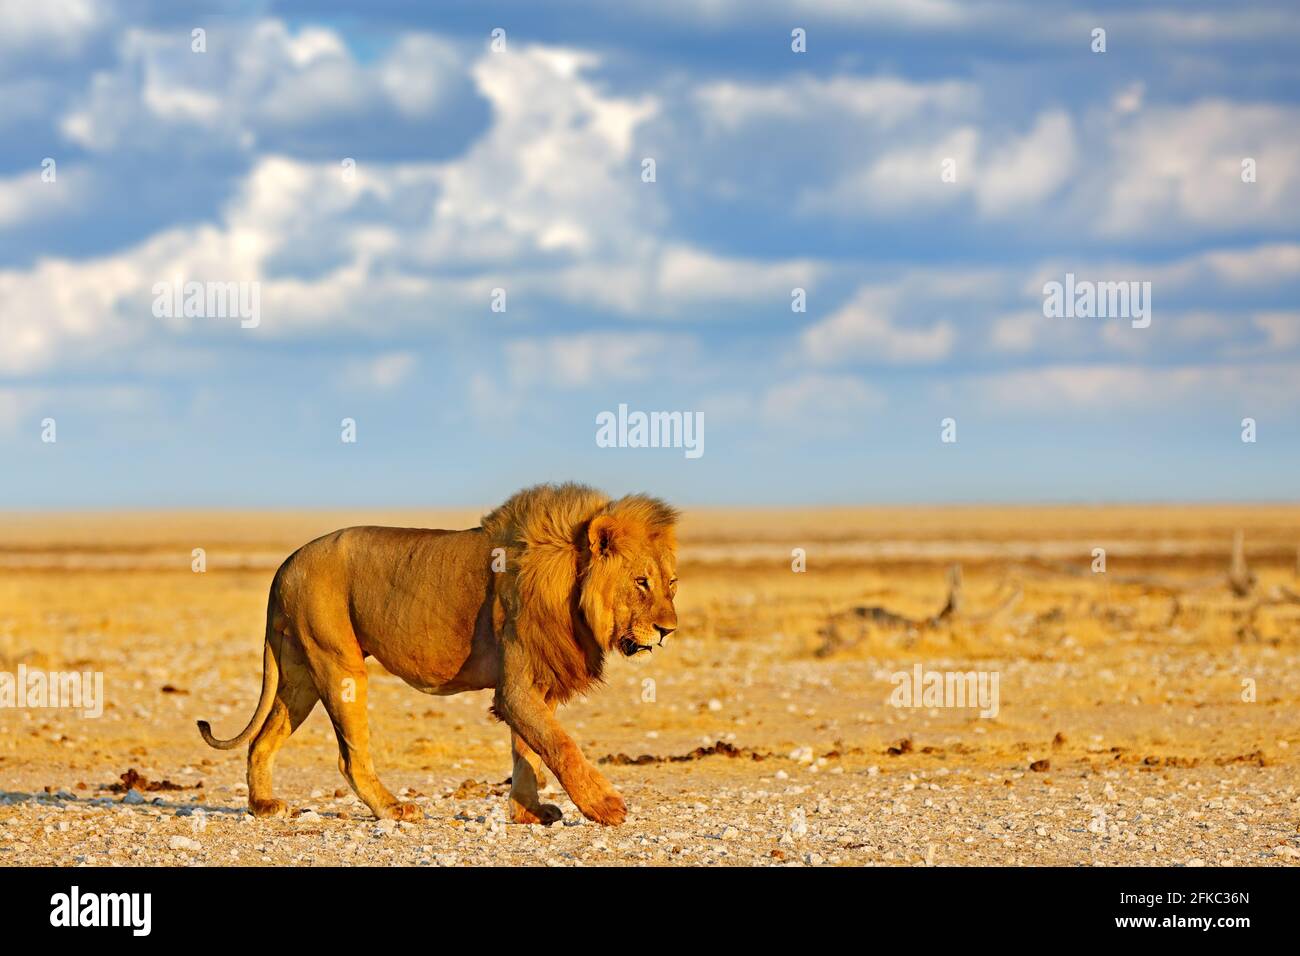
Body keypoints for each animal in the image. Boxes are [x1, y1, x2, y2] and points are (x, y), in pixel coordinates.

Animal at [197, 481, 681, 827]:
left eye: (671, 584)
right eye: (641, 582)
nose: (667, 631)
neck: (570, 582)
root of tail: (287, 562)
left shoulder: (536, 683)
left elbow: (527, 750)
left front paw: (528, 812)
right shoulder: (517, 687)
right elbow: (560, 745)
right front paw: (605, 806)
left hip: (300, 669)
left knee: (263, 737)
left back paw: (263, 805)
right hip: (337, 661)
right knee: (349, 756)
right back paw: (393, 809)